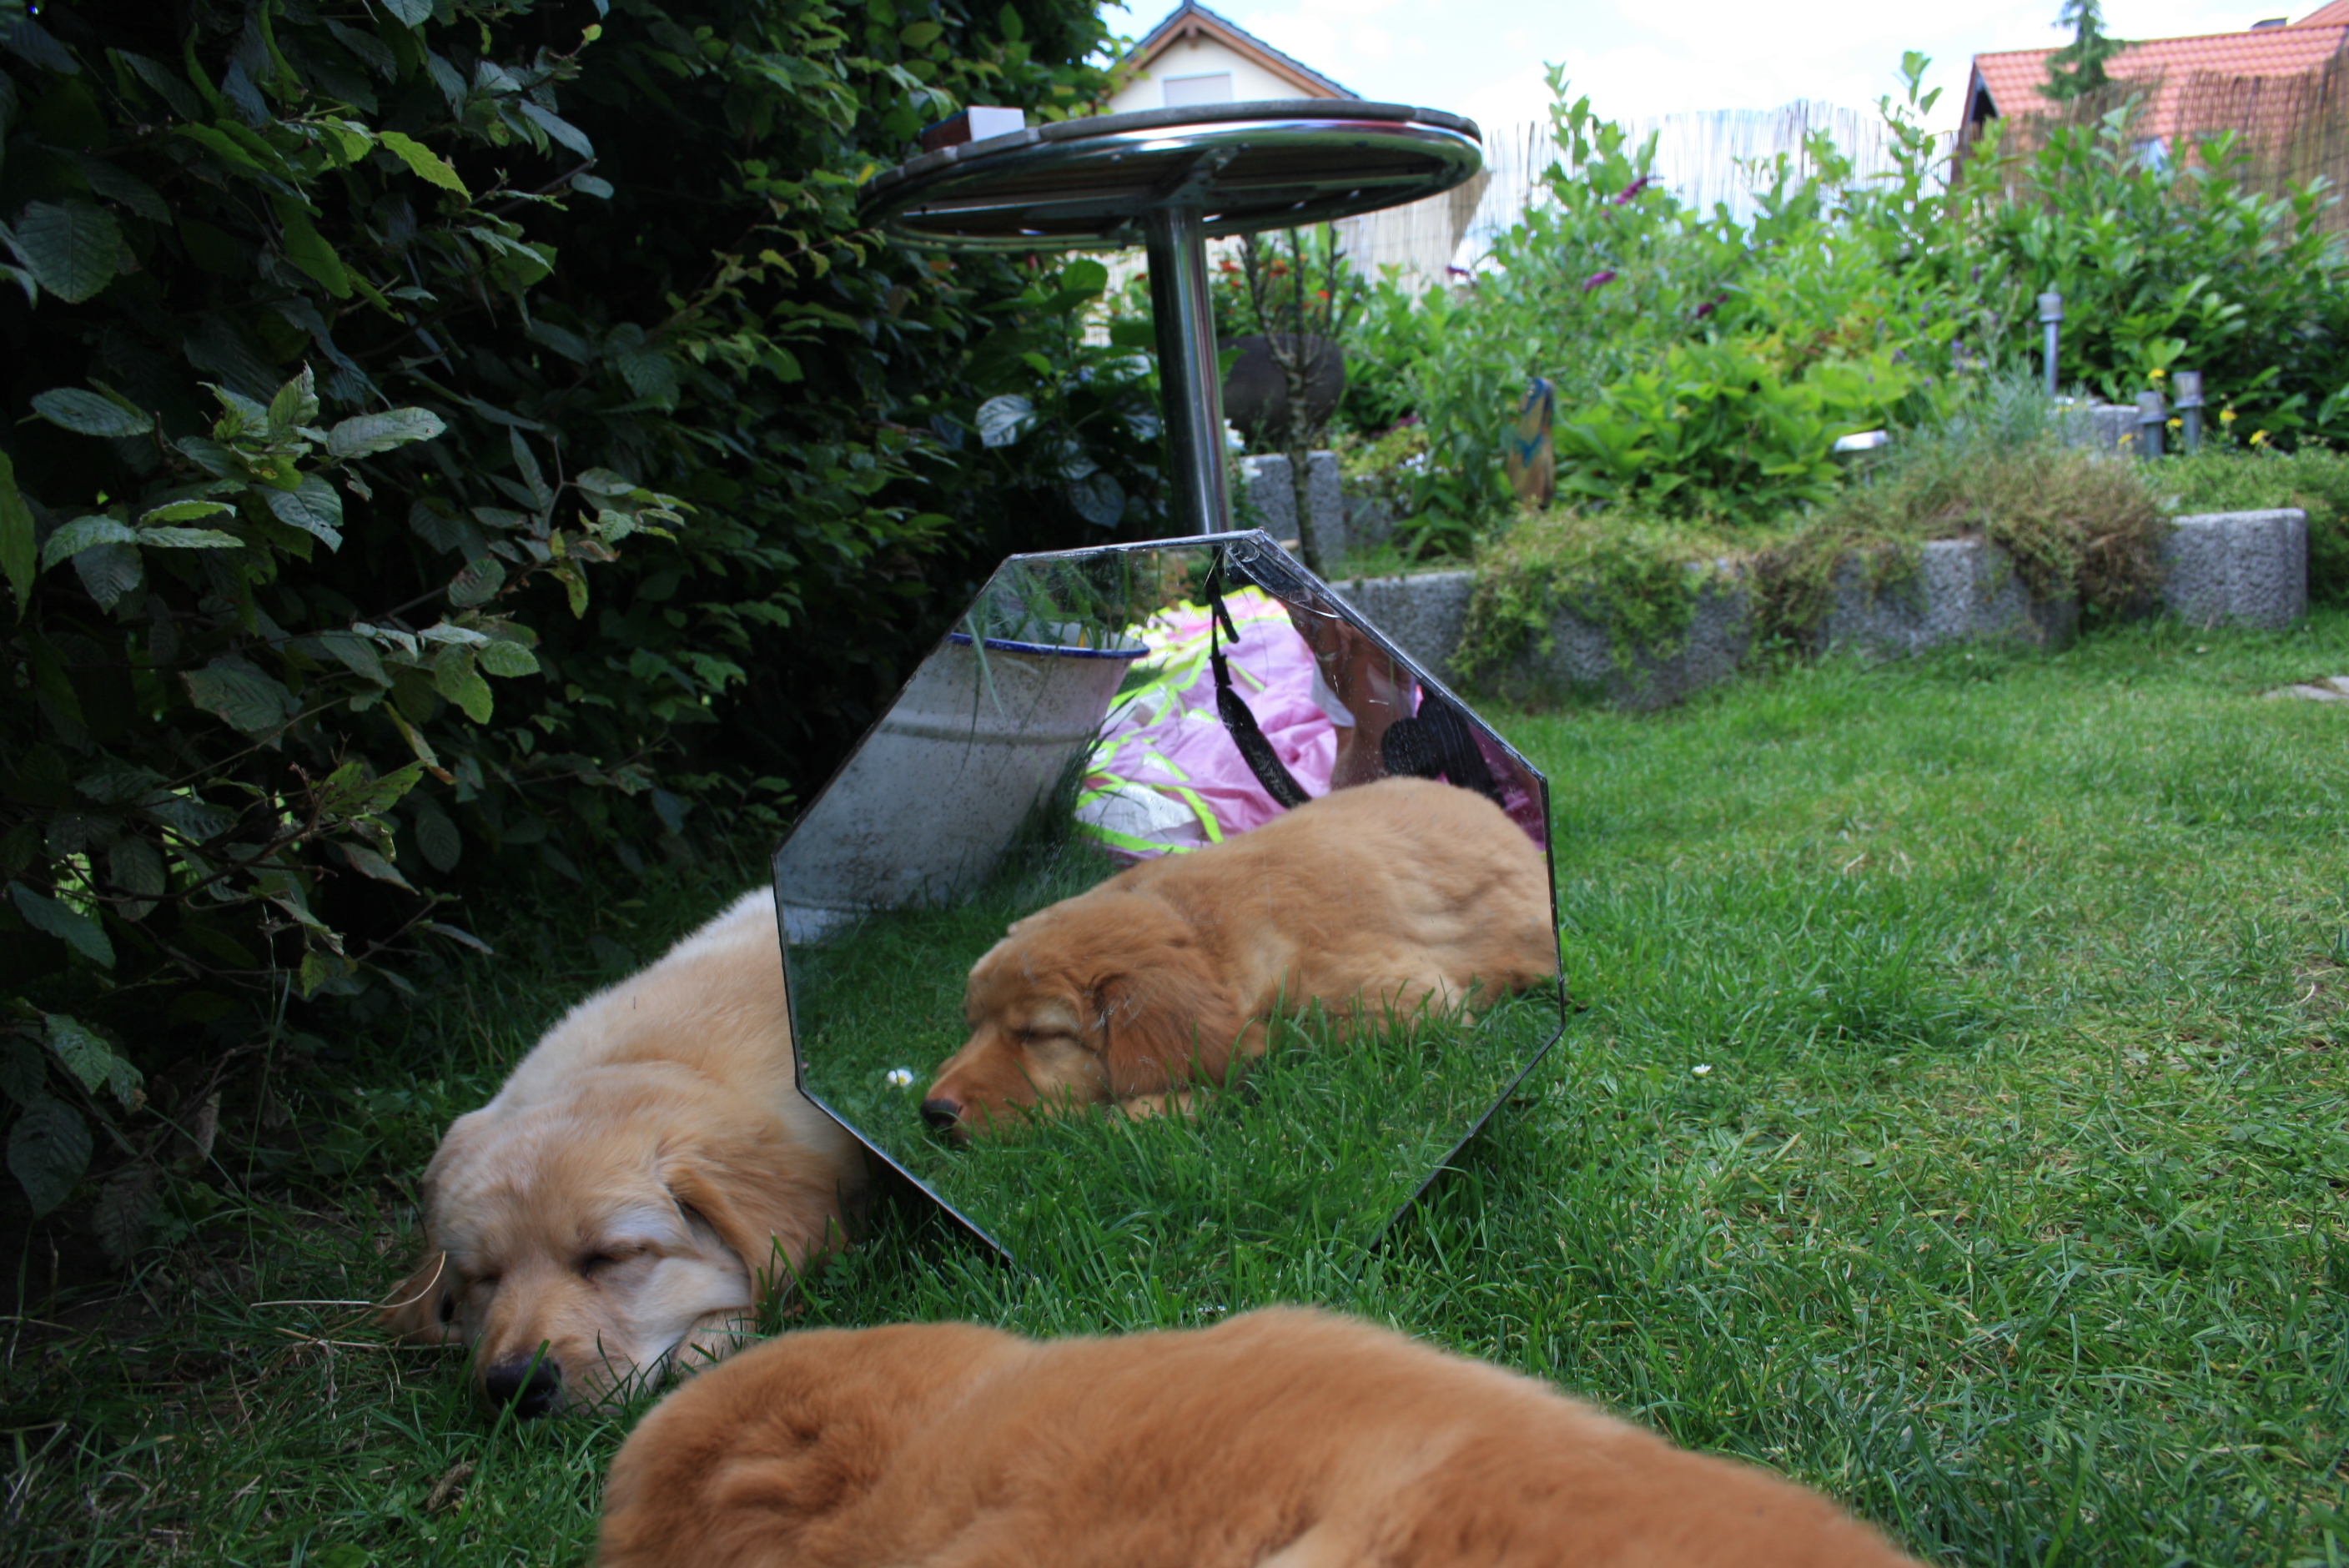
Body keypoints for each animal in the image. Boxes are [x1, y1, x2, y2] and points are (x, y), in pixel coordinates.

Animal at [921, 775, 1556, 1139]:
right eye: (973, 1025)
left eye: (1038, 1034)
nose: (932, 1113)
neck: (1204, 934)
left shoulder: (1405, 1001)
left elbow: (1273, 1050)